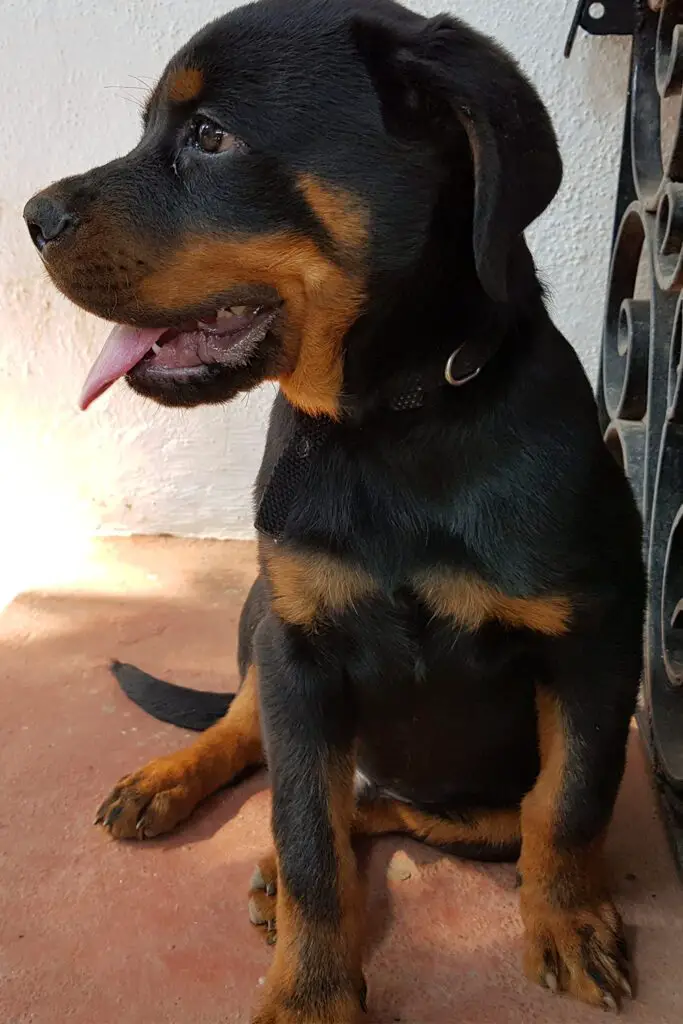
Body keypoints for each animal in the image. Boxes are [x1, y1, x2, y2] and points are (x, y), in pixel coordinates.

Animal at [25, 0, 647, 1019]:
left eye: (209, 137)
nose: (31, 215)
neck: (385, 423)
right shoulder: (298, 644)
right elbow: (306, 831)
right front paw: (310, 993)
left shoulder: (594, 640)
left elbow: (569, 801)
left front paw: (567, 923)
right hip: (258, 612)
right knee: (260, 744)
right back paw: (176, 789)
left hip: (467, 803)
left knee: (398, 808)